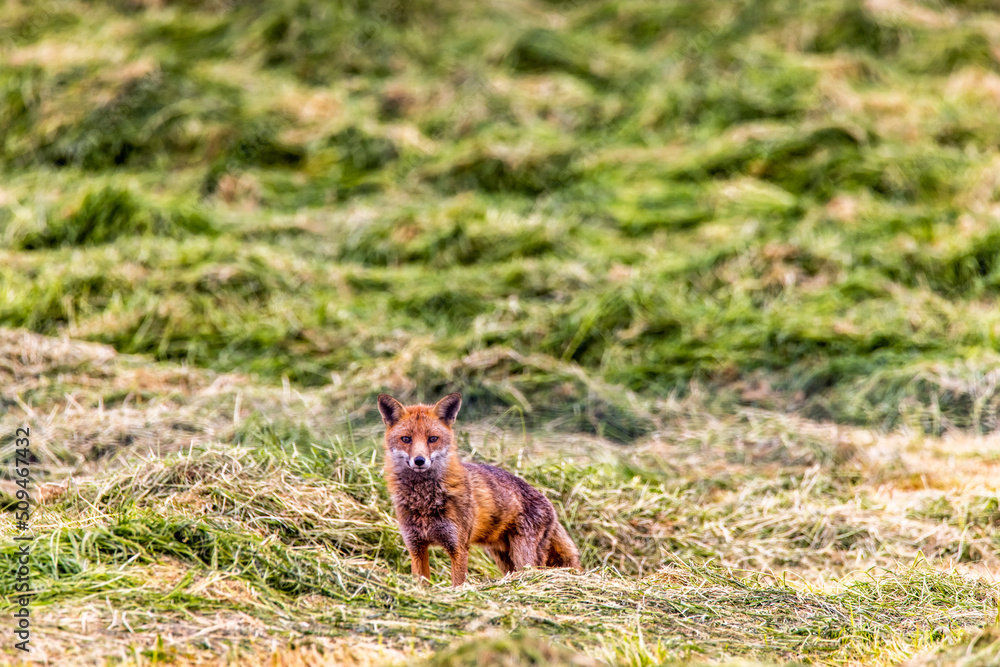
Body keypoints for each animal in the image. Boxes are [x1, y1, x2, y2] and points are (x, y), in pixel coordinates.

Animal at [377, 392, 581, 586]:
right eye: (406, 439)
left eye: (433, 439)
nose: (419, 461)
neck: (423, 501)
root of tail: (549, 503)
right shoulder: (416, 547)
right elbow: (421, 584)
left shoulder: (458, 547)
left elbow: (458, 583)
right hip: (503, 558)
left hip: (524, 557)